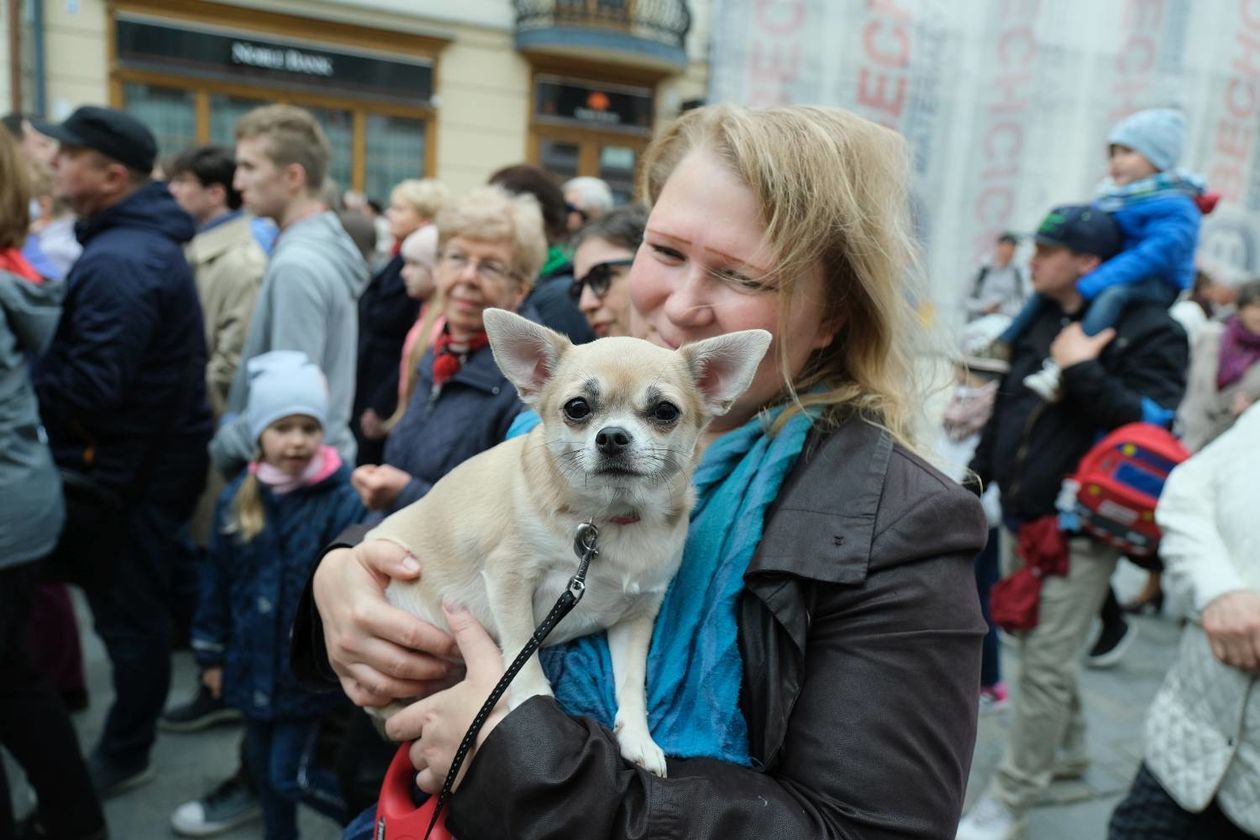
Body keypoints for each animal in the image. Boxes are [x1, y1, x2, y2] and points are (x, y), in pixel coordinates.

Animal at [367, 307, 766, 775]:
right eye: (577, 408)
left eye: (665, 411)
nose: (612, 435)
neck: (611, 519)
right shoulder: (509, 578)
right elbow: (521, 657)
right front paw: (534, 707)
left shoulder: (636, 617)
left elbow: (632, 682)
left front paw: (639, 738)